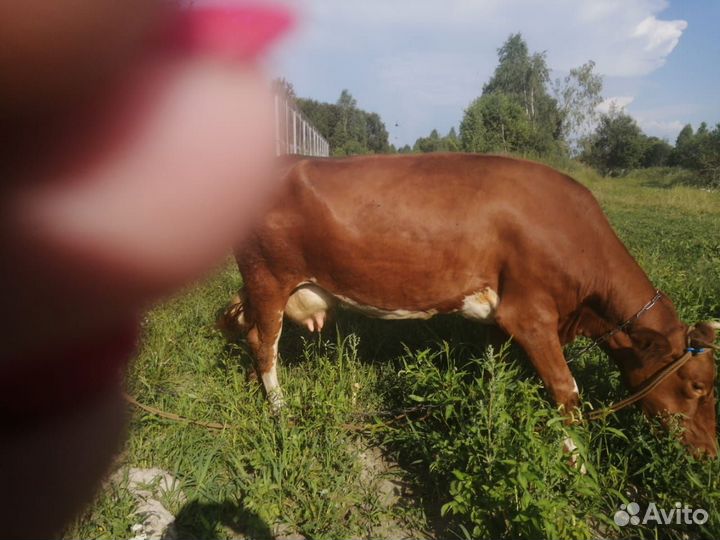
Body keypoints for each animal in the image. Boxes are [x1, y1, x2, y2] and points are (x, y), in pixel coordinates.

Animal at [220, 153, 718, 456]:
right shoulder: (531, 314)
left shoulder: (501, 318)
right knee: (264, 344)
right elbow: (566, 391)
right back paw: (281, 411)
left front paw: (493, 412)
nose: (709, 453)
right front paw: (577, 461)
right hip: (268, 278)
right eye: (698, 386)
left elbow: (496, 368)